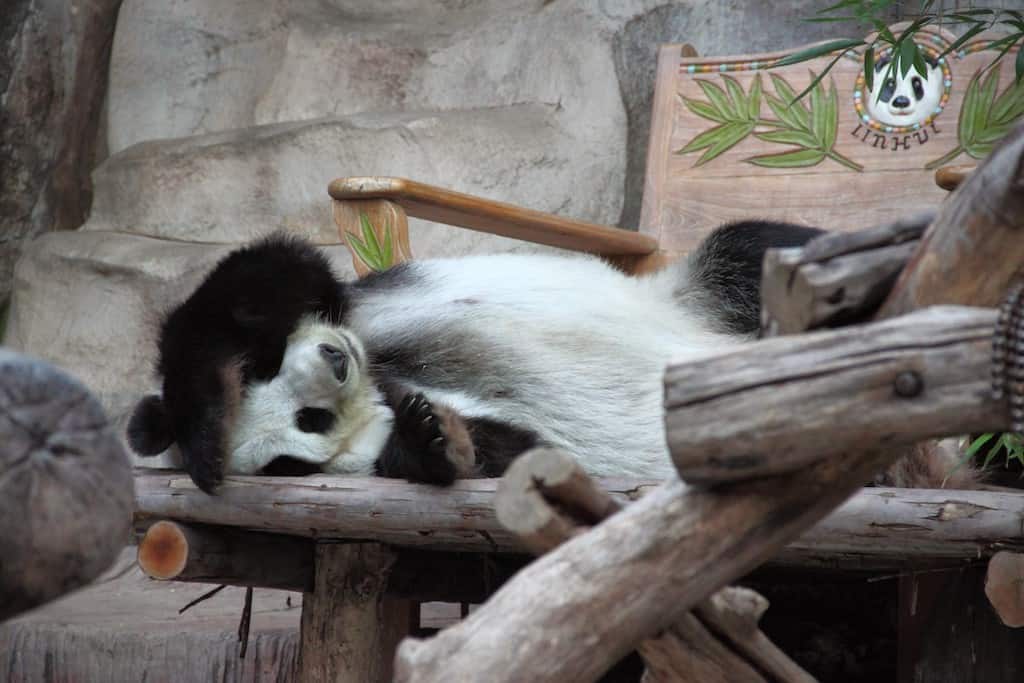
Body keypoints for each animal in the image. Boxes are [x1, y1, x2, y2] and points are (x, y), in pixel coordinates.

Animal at [123, 222, 970, 493]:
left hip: (709, 294)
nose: (334, 364)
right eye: (306, 426)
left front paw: (204, 419)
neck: (385, 374)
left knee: (761, 249)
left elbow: (271, 274)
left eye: (268, 368)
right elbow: (515, 452)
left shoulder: (363, 297)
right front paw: (437, 438)